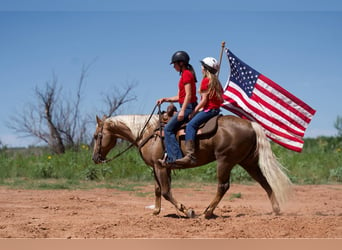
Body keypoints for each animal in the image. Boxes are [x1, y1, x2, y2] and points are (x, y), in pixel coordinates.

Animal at [93, 112, 292, 218]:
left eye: (96, 136)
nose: (95, 158)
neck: (148, 133)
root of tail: (251, 124)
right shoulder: (158, 168)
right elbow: (158, 190)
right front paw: (156, 211)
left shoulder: (160, 167)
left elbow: (166, 192)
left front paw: (186, 210)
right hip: (248, 162)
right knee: (264, 182)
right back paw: (276, 210)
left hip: (225, 161)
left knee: (223, 186)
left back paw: (208, 212)